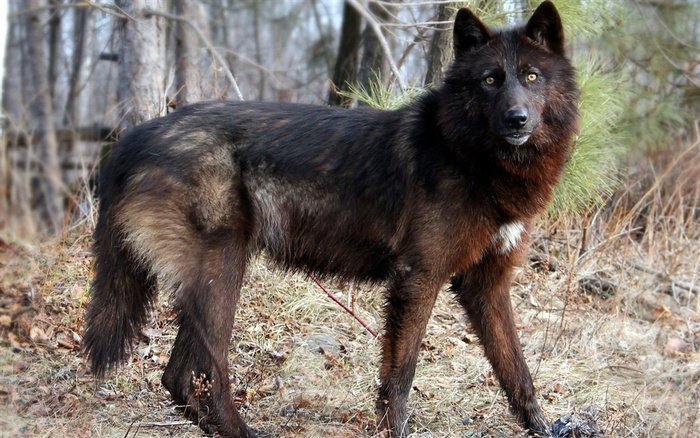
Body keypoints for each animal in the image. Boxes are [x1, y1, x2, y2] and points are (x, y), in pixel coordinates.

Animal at [83, 1, 576, 436]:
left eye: (531, 76)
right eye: (491, 80)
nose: (517, 118)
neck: (469, 153)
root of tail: (136, 136)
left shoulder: (486, 285)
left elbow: (518, 371)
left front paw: (543, 428)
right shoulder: (418, 278)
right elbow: (401, 377)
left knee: (178, 378)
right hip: (222, 274)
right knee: (197, 374)